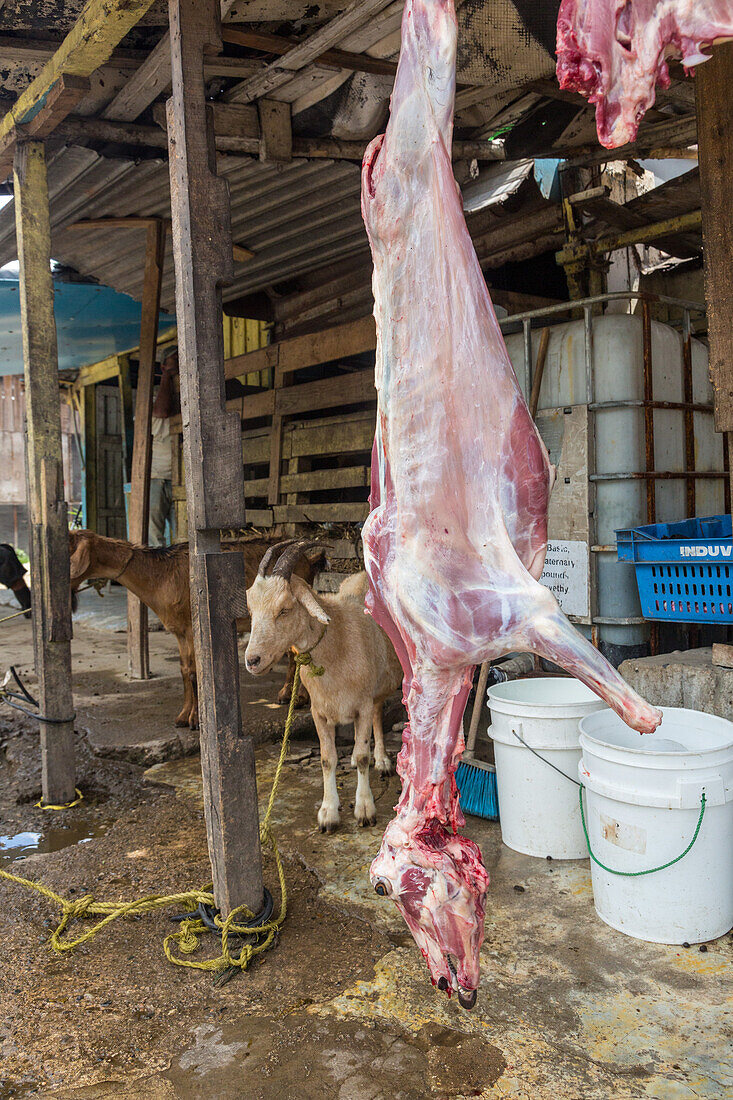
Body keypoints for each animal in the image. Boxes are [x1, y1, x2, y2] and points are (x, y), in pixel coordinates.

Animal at [68, 530, 323, 730]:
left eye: (68, 550)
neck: (159, 575)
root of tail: (309, 561)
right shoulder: (179, 632)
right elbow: (184, 670)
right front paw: (182, 716)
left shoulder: (192, 629)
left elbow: (194, 672)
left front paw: (196, 721)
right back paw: (292, 695)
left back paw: (296, 697)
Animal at [248, 536, 402, 827]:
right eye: (251, 608)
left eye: (284, 609)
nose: (252, 660)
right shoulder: (318, 711)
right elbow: (327, 759)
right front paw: (329, 812)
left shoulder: (362, 705)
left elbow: (363, 756)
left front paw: (365, 808)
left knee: (379, 714)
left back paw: (382, 760)